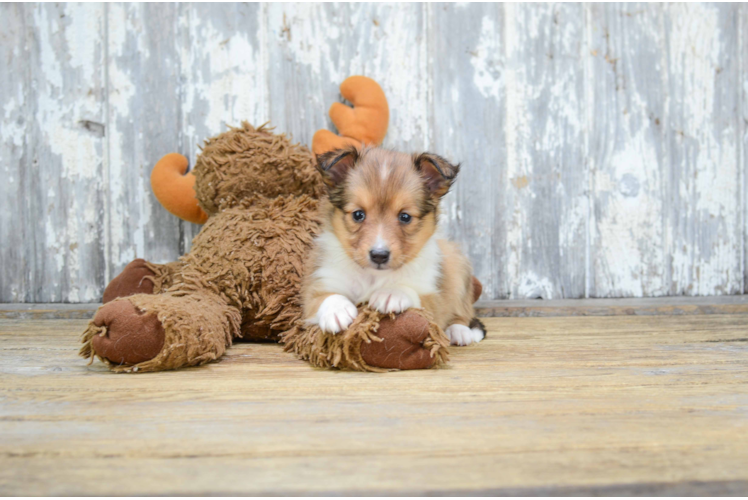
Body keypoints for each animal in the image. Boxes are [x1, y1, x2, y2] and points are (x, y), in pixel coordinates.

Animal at [302, 146, 486, 346]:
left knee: (463, 312)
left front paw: (392, 293)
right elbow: (324, 297)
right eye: (358, 214)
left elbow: (413, 293)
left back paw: (459, 332)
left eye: (405, 217)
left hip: (458, 268)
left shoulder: (433, 299)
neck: (373, 277)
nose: (379, 255)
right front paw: (337, 310)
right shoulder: (320, 285)